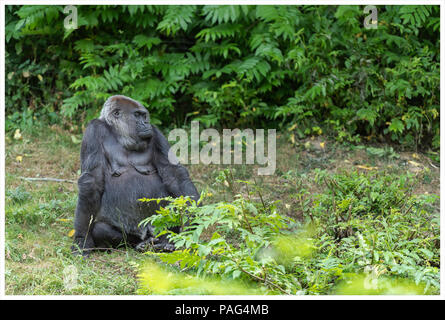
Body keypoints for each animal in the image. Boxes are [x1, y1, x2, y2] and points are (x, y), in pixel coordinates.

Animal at [71, 94, 198, 255]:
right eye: (137, 115)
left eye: (144, 116)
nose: (146, 123)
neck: (118, 134)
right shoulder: (93, 130)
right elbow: (91, 181)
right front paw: (81, 238)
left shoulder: (155, 132)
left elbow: (173, 173)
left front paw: (193, 217)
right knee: (101, 229)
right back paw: (140, 244)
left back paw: (165, 243)